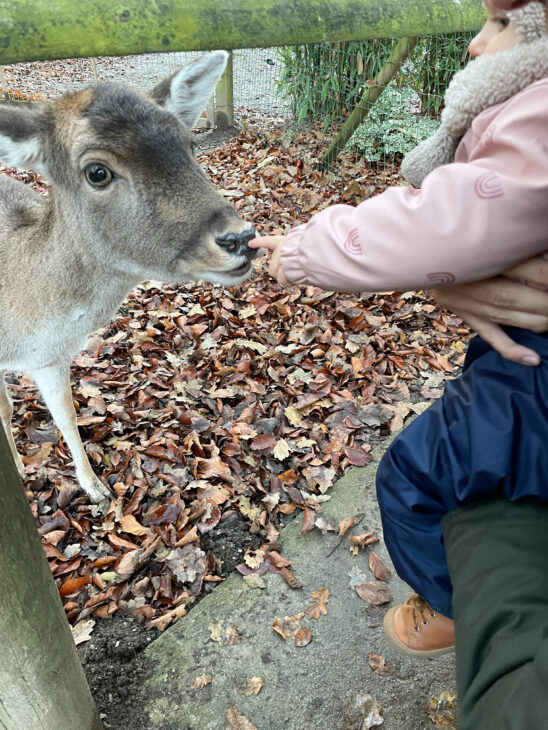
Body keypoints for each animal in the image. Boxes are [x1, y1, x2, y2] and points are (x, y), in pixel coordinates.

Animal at [0, 51, 256, 504]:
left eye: (189, 144)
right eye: (97, 172)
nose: (239, 238)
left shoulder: (50, 359)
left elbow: (67, 415)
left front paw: (95, 487)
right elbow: (6, 408)